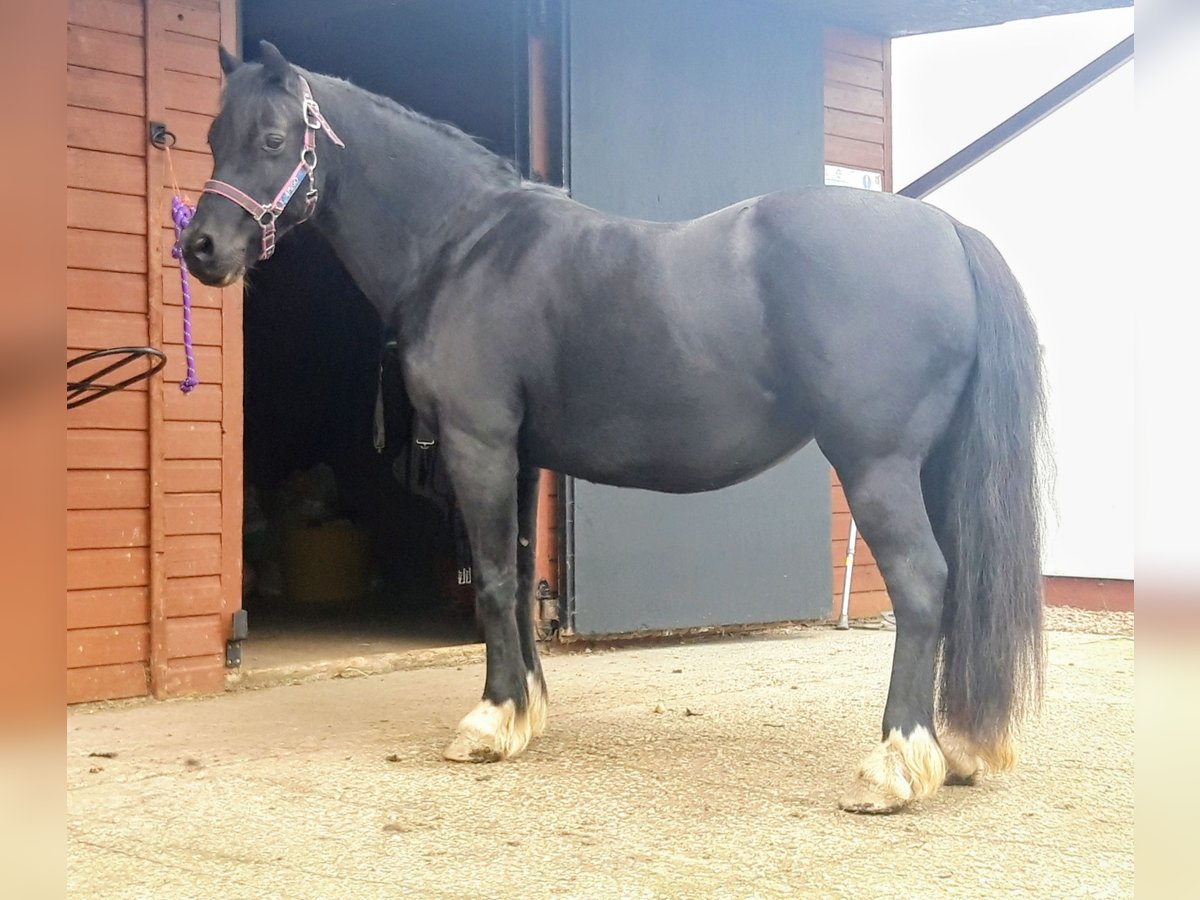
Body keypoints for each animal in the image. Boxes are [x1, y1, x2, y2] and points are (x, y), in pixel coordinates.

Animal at [183, 41, 1046, 814]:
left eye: (271, 138)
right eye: (212, 135)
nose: (201, 249)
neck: (464, 246)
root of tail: (945, 232)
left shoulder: (477, 443)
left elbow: (491, 581)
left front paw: (487, 724)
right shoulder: (521, 456)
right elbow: (518, 576)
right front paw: (522, 711)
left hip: (877, 465)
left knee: (924, 584)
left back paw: (893, 767)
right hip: (932, 467)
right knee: (958, 584)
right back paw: (956, 751)